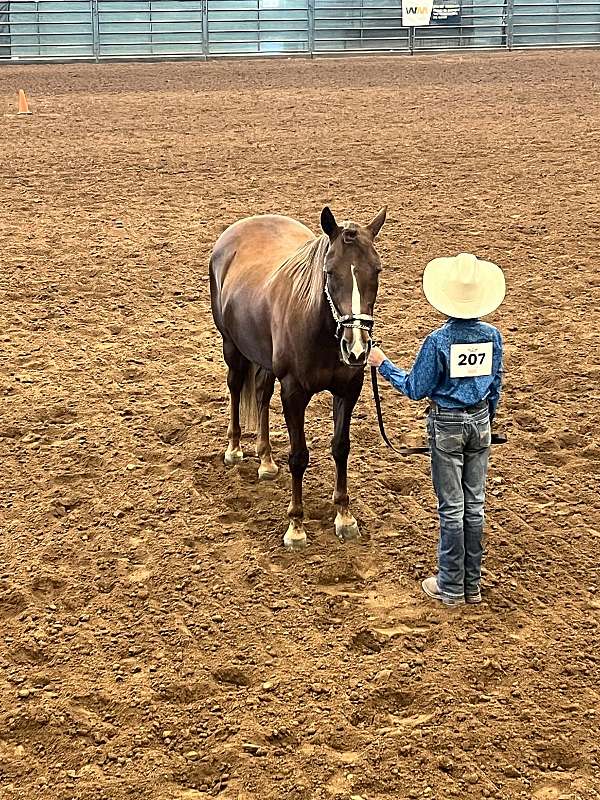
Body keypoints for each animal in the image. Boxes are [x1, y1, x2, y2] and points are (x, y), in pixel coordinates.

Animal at [211, 206, 386, 552]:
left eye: (376, 269)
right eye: (330, 272)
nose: (357, 348)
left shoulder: (349, 389)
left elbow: (341, 447)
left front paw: (344, 516)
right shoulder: (293, 392)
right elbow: (298, 456)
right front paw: (296, 526)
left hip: (262, 358)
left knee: (262, 393)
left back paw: (265, 460)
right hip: (232, 347)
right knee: (236, 388)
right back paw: (234, 448)